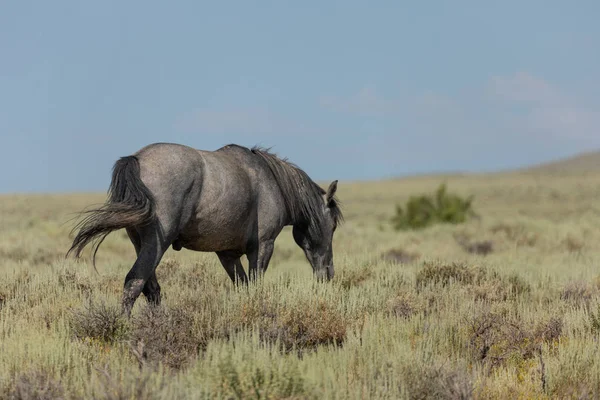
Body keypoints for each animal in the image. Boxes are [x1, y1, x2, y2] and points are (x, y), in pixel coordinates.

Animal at [67, 142, 342, 314]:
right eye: (333, 227)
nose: (328, 273)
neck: (272, 181)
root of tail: (137, 158)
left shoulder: (227, 255)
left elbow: (243, 286)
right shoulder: (263, 247)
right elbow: (255, 286)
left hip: (141, 244)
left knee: (151, 289)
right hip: (157, 244)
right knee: (135, 282)